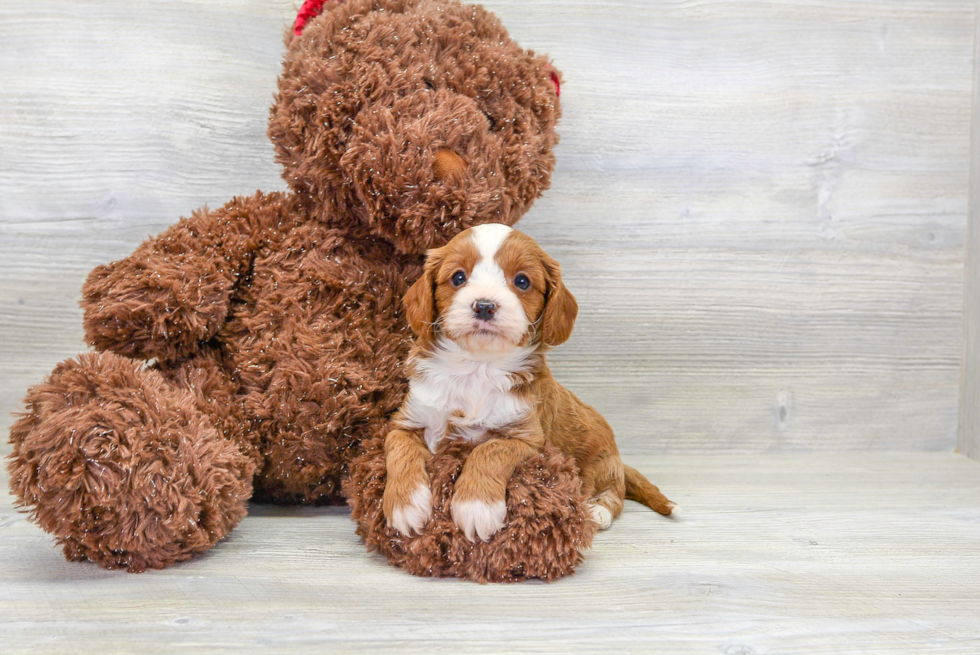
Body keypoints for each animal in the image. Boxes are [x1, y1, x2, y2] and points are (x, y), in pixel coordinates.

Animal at [382, 226, 672, 544]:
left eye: (522, 281)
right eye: (458, 277)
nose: (484, 306)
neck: (476, 366)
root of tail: (619, 460)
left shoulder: (528, 438)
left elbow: (491, 450)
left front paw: (476, 506)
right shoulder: (408, 420)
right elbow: (399, 450)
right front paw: (404, 504)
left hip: (602, 463)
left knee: (615, 494)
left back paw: (598, 511)